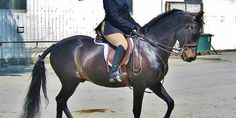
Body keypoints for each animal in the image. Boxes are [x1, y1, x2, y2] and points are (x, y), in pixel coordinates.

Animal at [21, 9, 204, 118]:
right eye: (193, 31)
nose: (190, 57)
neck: (151, 47)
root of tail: (57, 45)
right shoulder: (140, 86)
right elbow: (137, 111)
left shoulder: (154, 84)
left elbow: (170, 103)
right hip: (69, 81)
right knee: (60, 100)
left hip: (72, 82)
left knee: (62, 101)